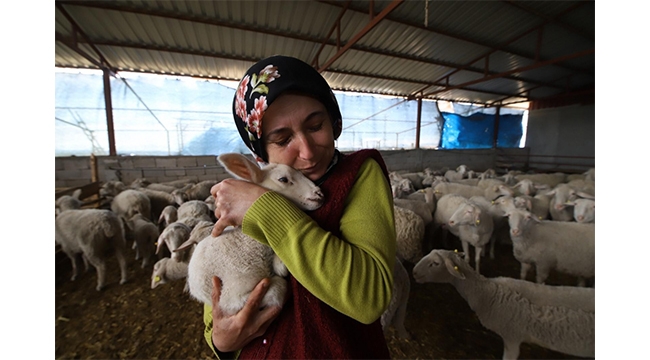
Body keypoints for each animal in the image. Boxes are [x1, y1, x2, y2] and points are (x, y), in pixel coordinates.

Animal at [175, 153, 324, 316]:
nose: (319, 194)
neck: (247, 243)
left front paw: (280, 264)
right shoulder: (231, 299)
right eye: (283, 179)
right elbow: (279, 287)